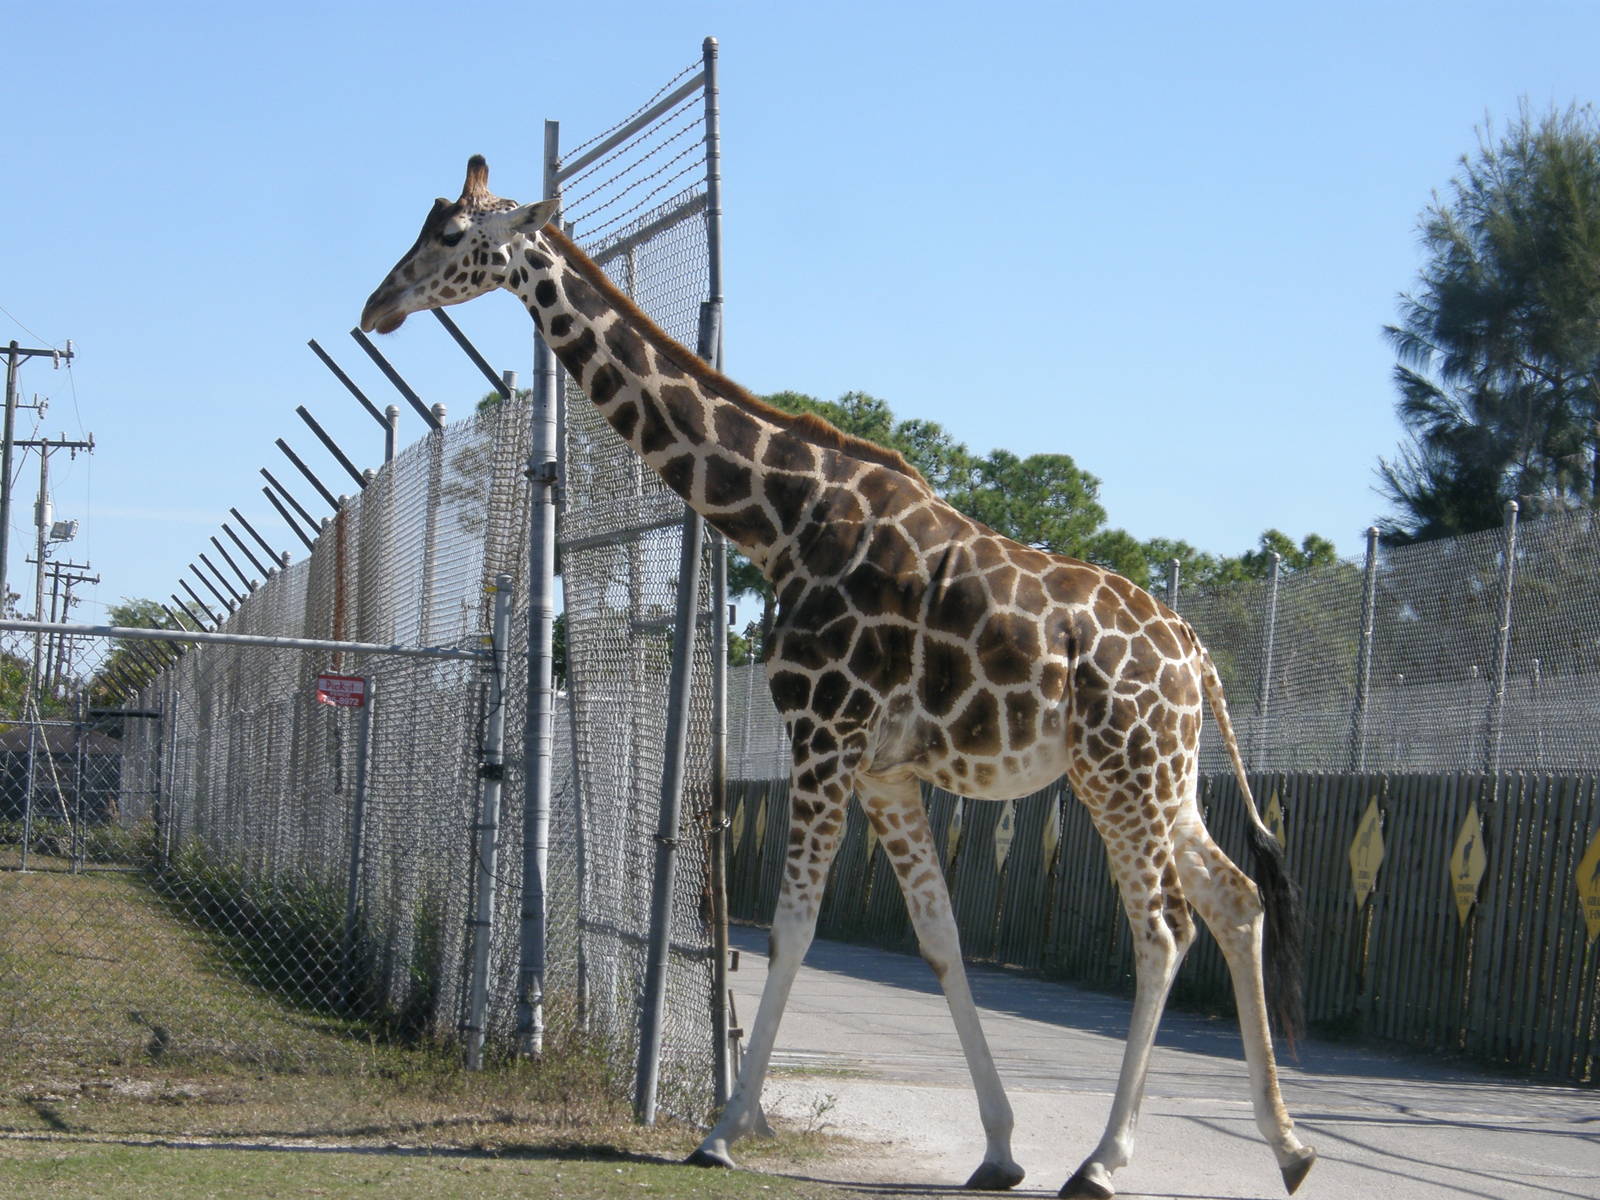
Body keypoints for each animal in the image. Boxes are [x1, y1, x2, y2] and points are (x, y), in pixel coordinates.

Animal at [361, 156, 1317, 1199]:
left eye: (455, 238)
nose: (378, 304)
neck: (782, 517)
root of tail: (1198, 656)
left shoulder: (823, 732)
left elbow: (789, 927)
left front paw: (724, 1130)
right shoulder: (884, 768)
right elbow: (939, 940)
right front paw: (998, 1147)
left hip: (1122, 771)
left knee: (1164, 928)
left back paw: (1104, 1163)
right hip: (1161, 777)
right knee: (1237, 899)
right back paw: (1289, 1148)